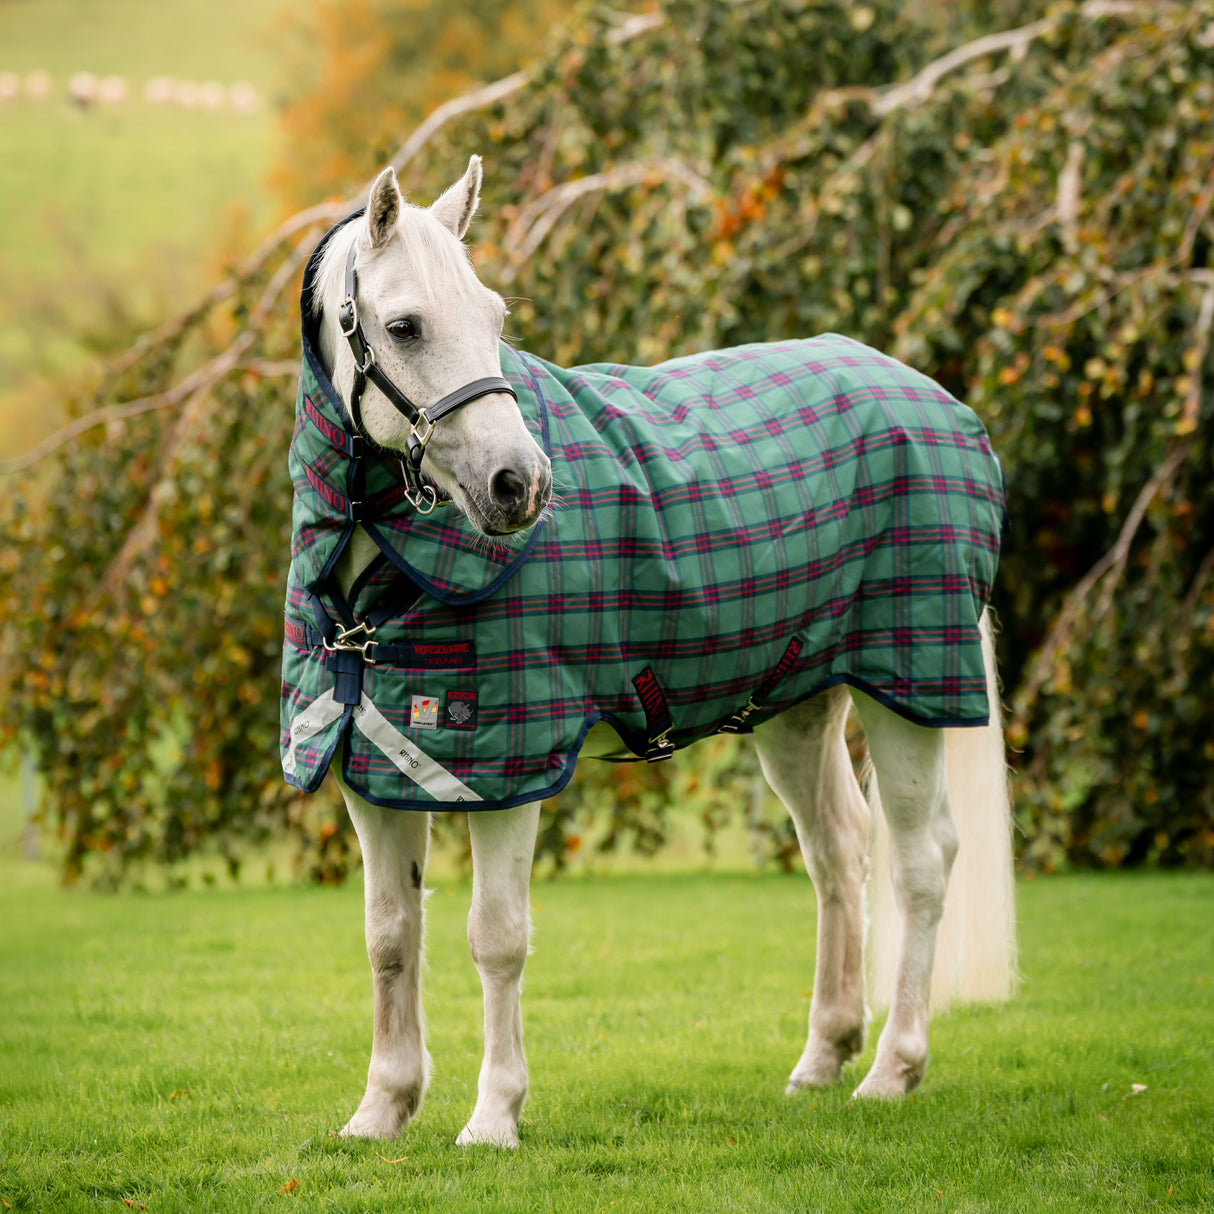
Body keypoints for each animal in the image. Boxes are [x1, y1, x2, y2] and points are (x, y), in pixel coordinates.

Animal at [284, 155, 1016, 1148]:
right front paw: (381, 1109)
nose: (521, 484)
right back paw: (824, 1057)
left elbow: (495, 937)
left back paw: (893, 1071)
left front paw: (494, 1116)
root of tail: (936, 400)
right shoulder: (374, 760)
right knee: (838, 852)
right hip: (796, 707)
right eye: (404, 327)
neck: (378, 588)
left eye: (495, 318)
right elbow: (391, 936)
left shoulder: (506, 770)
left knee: (920, 861)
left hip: (905, 688)